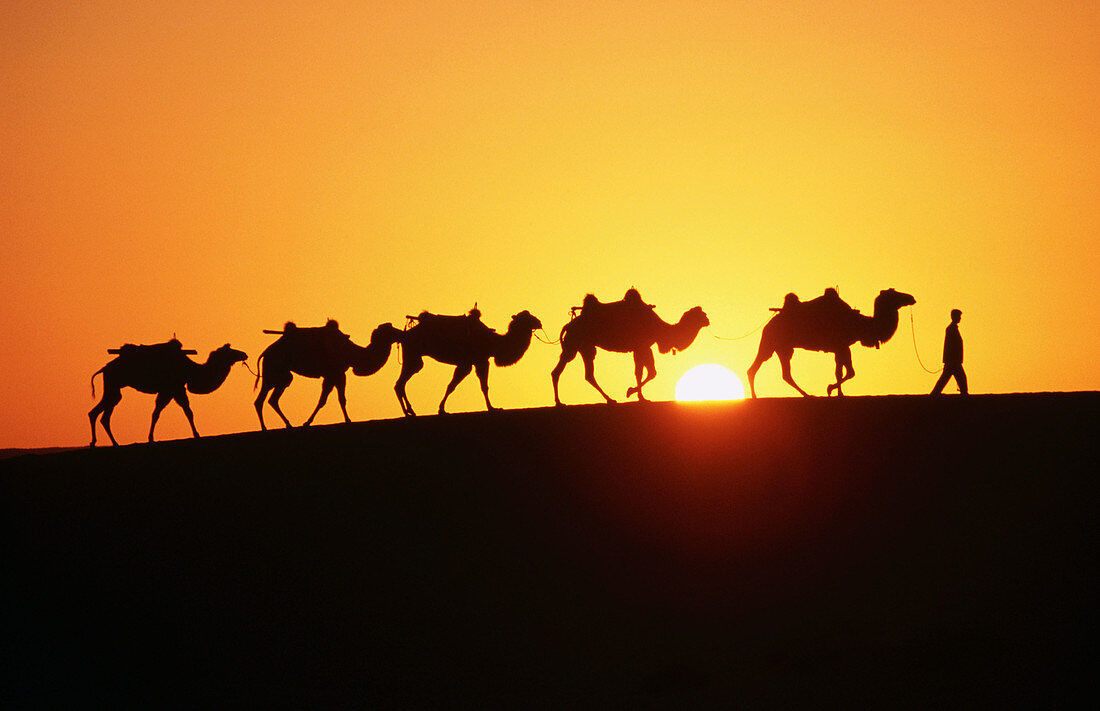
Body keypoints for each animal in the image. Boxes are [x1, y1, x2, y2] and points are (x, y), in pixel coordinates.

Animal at [88, 338, 247, 444]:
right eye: (230, 351)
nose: (244, 354)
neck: (190, 370)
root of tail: (104, 368)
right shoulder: (173, 389)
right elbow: (183, 412)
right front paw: (196, 434)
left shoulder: (172, 390)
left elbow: (161, 412)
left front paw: (151, 438)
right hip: (113, 383)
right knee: (102, 413)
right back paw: (108, 442)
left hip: (113, 387)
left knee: (99, 413)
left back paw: (101, 443)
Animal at [253, 321, 404, 431]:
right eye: (391, 330)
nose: (402, 333)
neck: (352, 354)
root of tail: (265, 352)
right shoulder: (336, 373)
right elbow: (333, 399)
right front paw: (346, 420)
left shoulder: (334, 375)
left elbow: (331, 399)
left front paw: (308, 422)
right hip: (273, 371)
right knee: (261, 399)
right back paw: (265, 428)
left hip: (282, 375)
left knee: (272, 399)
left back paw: (288, 425)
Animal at [398, 308, 543, 418]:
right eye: (526, 318)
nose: (539, 322)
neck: (493, 343)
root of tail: (404, 335)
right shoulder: (478, 361)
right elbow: (476, 386)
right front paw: (492, 408)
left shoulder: (472, 362)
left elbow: (455, 385)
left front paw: (442, 409)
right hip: (413, 354)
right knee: (400, 383)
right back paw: (407, 412)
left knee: (401, 383)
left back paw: (410, 411)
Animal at [550, 292, 712, 407]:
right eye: (702, 315)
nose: (708, 320)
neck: (660, 329)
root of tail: (568, 325)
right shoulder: (642, 346)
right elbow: (648, 372)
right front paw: (632, 393)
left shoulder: (642, 347)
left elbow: (644, 372)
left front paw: (639, 396)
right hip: (578, 343)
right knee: (575, 371)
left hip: (580, 346)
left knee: (573, 372)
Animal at [748, 290, 919, 400]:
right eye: (894, 294)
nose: (911, 297)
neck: (861, 325)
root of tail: (767, 325)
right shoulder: (842, 345)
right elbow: (850, 372)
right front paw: (830, 388)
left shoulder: (841, 347)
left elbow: (840, 371)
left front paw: (839, 393)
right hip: (774, 343)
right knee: (761, 369)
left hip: (780, 347)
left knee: (777, 372)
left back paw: (805, 394)